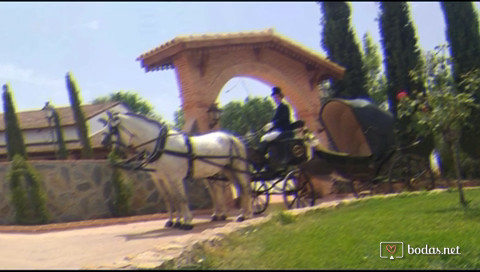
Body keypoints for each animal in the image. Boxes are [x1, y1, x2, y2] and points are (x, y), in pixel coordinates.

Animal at [99, 111, 253, 230]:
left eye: (112, 129)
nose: (103, 143)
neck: (161, 145)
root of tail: (233, 137)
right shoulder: (163, 178)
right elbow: (171, 198)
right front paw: (174, 221)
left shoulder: (175, 178)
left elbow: (181, 198)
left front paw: (186, 222)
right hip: (227, 170)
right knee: (232, 188)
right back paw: (235, 214)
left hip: (237, 168)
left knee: (244, 187)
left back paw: (246, 215)